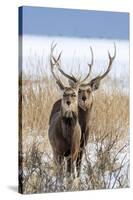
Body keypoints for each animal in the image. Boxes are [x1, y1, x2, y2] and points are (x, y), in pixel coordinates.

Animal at [48, 43, 116, 177]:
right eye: (79, 91)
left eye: (89, 90)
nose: (83, 98)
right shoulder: (59, 150)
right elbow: (63, 172)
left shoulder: (81, 146)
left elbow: (77, 166)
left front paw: (77, 177)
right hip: (55, 150)